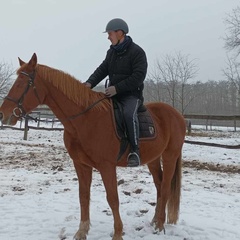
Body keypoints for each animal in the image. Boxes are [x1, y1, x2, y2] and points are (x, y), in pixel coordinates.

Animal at [0, 53, 186, 239]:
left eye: (22, 83)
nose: (3, 114)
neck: (86, 119)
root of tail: (177, 115)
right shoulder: (81, 164)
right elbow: (83, 195)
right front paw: (82, 231)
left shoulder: (107, 166)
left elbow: (113, 198)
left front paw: (117, 233)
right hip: (153, 159)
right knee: (159, 185)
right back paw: (155, 220)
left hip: (169, 156)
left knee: (165, 187)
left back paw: (160, 225)